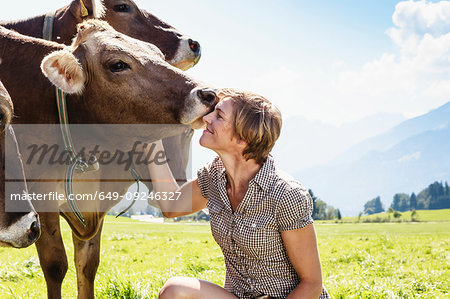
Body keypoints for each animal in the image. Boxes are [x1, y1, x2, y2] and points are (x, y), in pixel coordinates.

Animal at [0, 19, 216, 298]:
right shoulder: (39, 195)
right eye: (118, 65)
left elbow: (88, 265)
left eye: (157, 53)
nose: (208, 94)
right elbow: (55, 265)